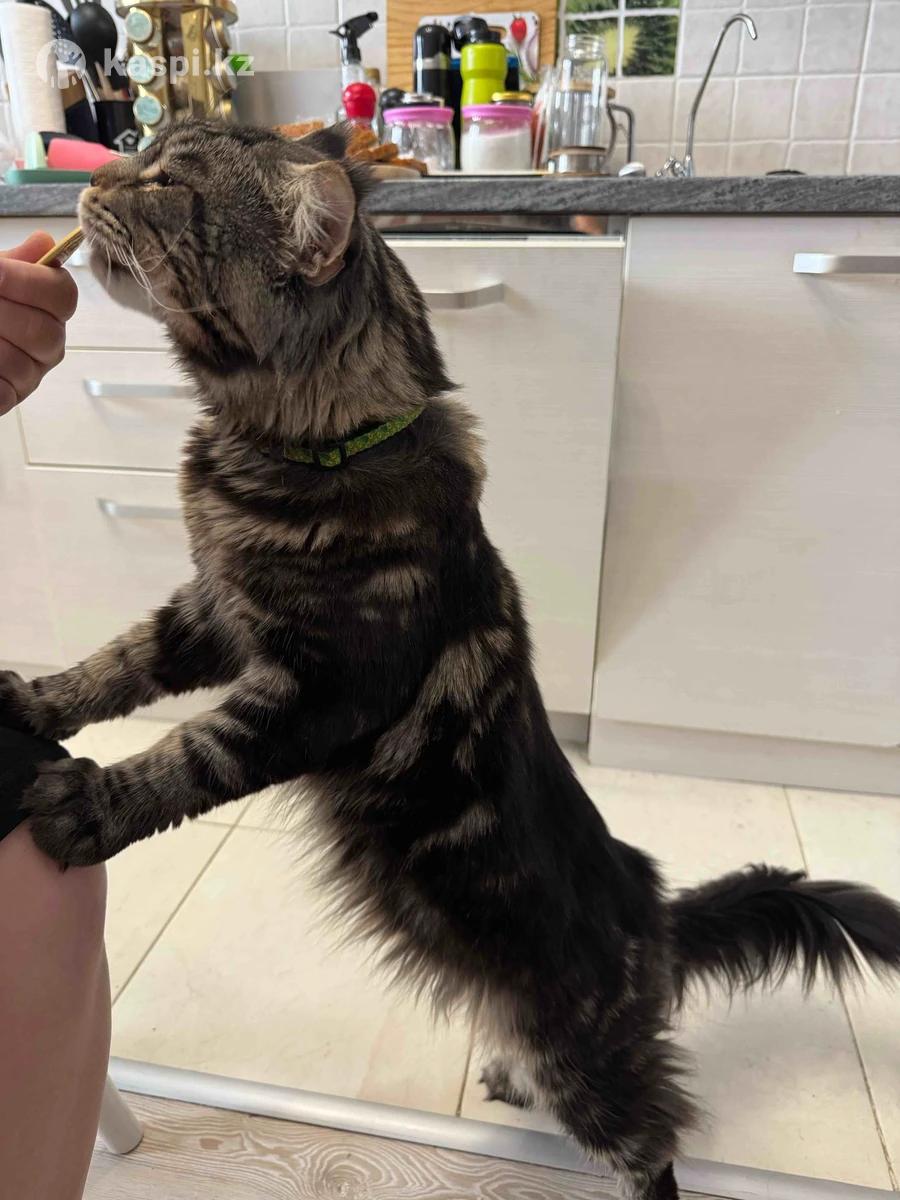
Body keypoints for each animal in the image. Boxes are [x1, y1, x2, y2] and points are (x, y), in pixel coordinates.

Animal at [2, 121, 899, 1200]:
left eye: (167, 182)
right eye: (141, 145)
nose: (91, 182)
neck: (302, 449)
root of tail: (654, 910)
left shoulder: (319, 689)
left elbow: (191, 754)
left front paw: (85, 805)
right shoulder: (216, 614)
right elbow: (119, 664)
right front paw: (32, 701)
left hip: (589, 1067)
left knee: (655, 1142)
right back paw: (503, 1077)